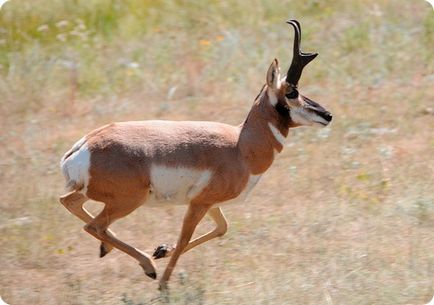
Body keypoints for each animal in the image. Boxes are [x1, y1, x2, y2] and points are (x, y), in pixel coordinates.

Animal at [59, 19, 332, 288]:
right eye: (291, 92)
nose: (328, 115)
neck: (240, 144)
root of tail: (85, 145)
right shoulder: (198, 203)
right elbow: (184, 239)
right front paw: (163, 285)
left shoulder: (210, 204)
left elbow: (222, 228)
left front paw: (161, 250)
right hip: (128, 201)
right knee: (94, 225)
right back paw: (148, 268)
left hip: (101, 196)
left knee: (71, 203)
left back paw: (117, 252)